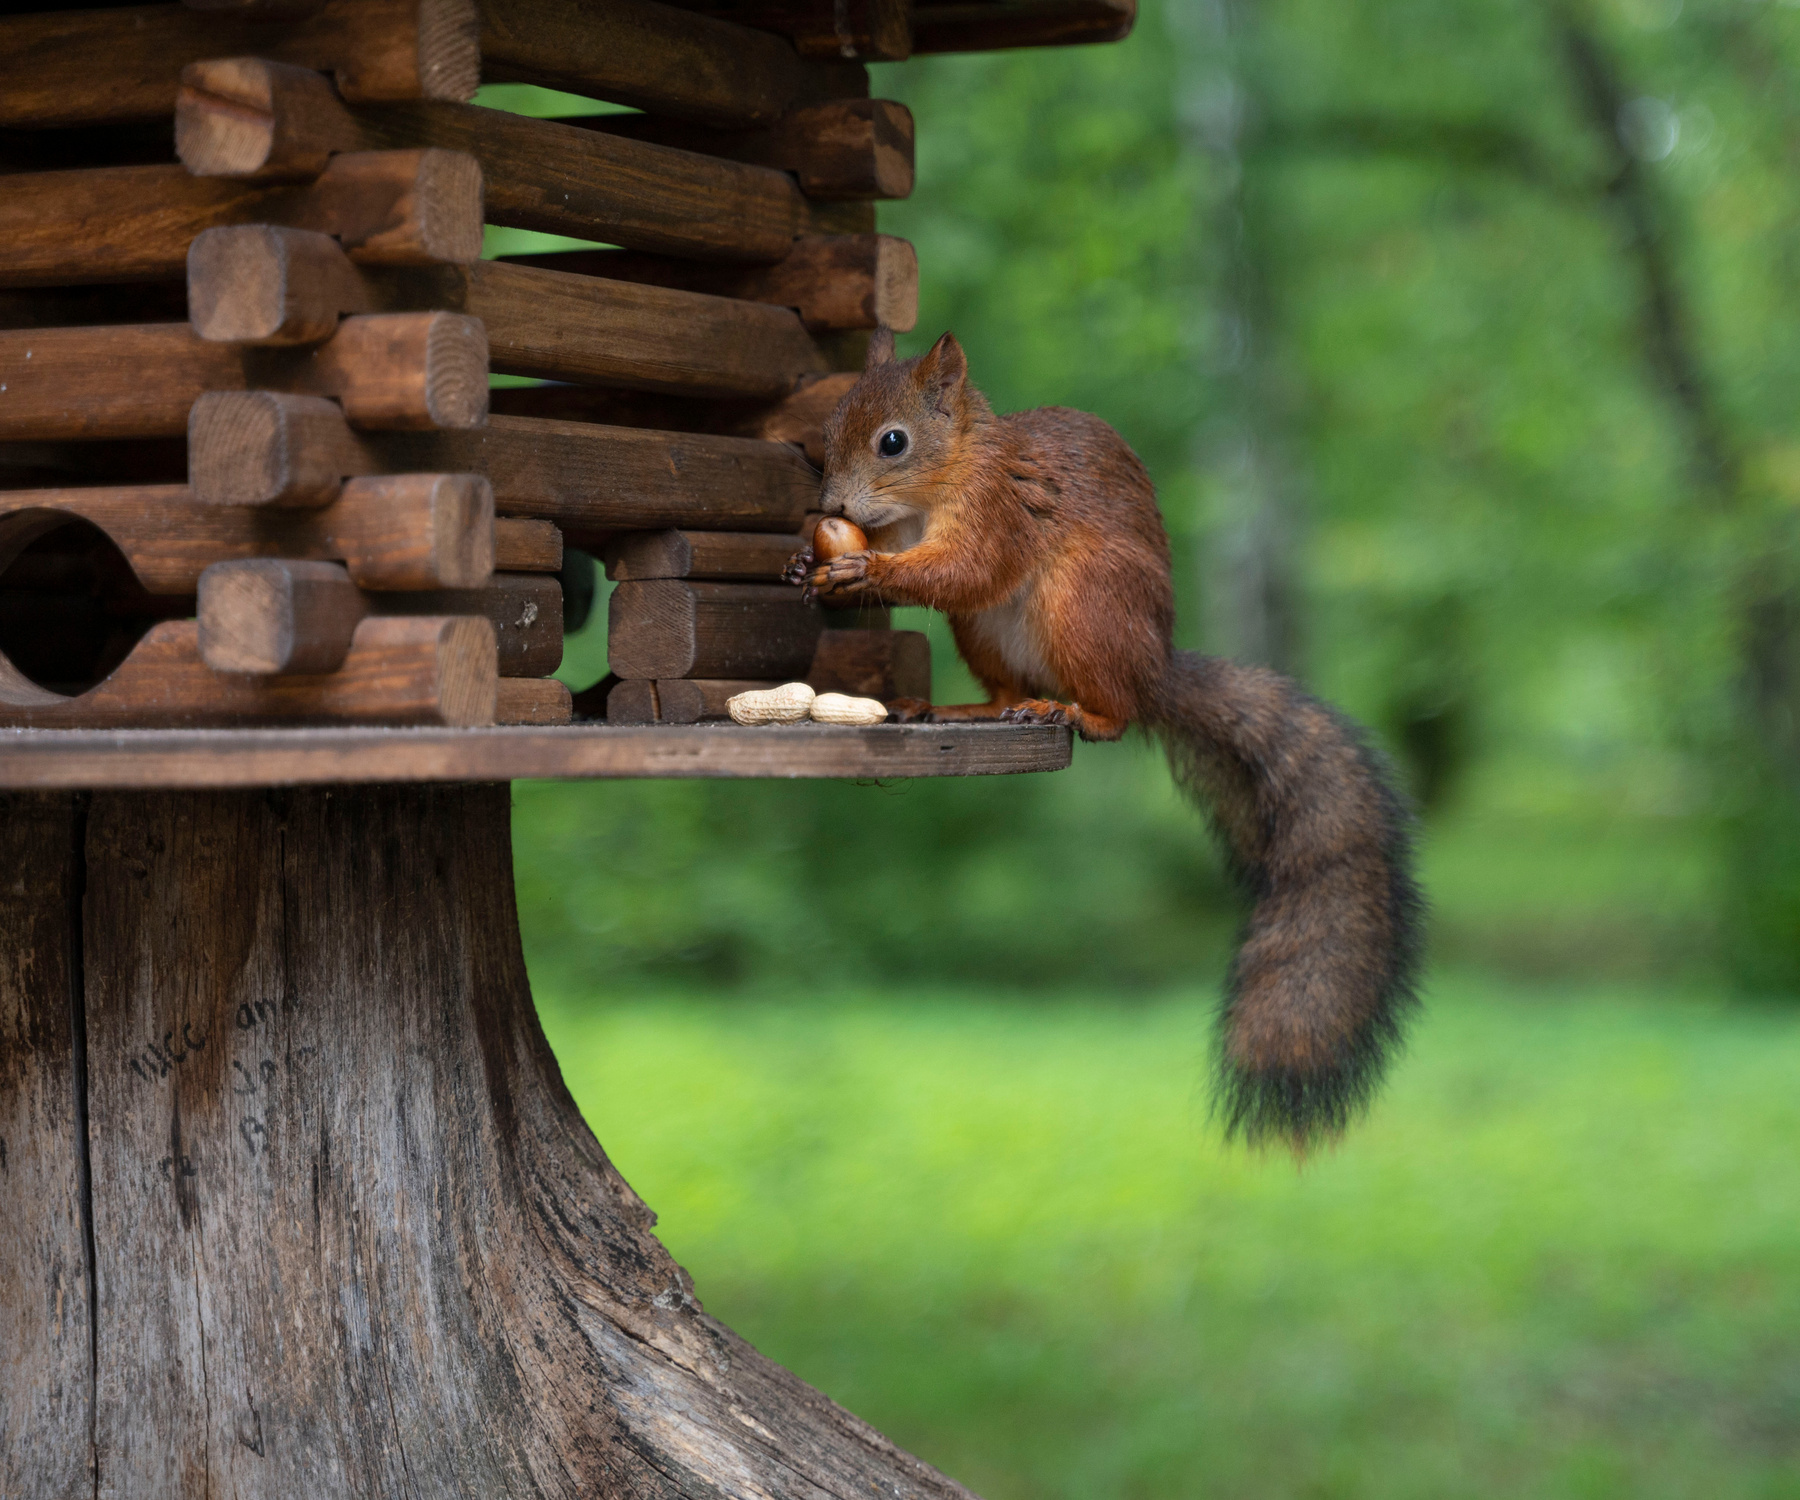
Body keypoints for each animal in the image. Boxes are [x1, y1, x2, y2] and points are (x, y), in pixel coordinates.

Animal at [786, 328, 1423, 1151]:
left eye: (892, 442)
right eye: (827, 433)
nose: (830, 508)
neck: (943, 479)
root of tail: (1153, 672)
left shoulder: (998, 511)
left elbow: (965, 567)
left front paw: (867, 569)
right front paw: (811, 558)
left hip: (1084, 601)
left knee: (1115, 713)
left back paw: (1072, 714)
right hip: (988, 636)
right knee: (1003, 688)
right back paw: (968, 708)